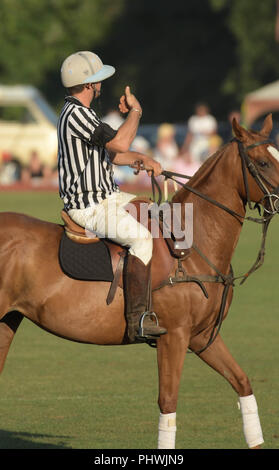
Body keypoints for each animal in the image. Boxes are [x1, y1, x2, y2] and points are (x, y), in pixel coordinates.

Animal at [0, 114, 279, 448]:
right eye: (262, 162)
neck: (192, 245)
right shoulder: (174, 336)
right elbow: (168, 403)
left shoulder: (201, 337)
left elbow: (242, 382)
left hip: (7, 320)